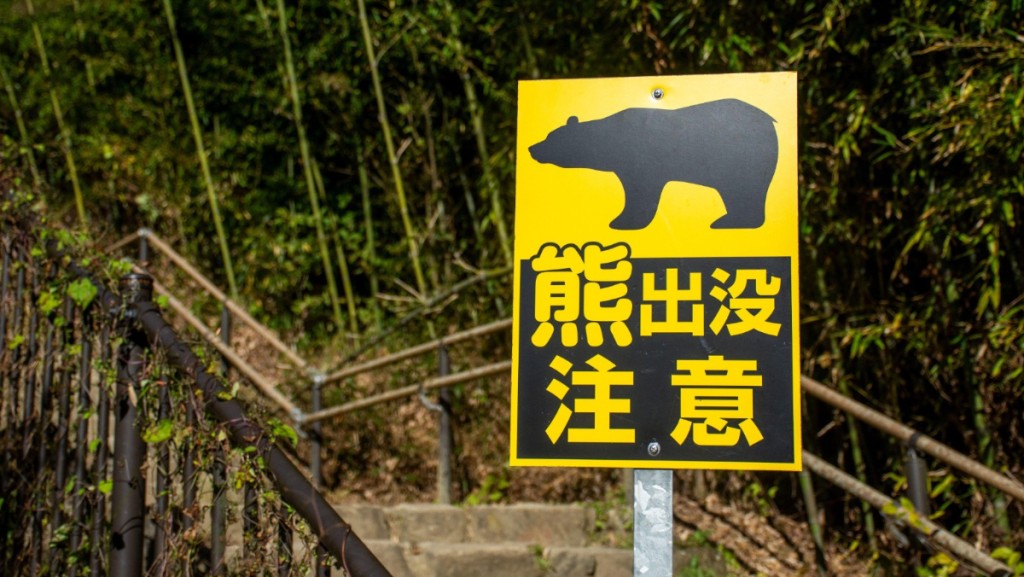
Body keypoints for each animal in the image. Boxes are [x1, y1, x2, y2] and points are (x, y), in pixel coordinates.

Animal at [528, 98, 778, 230]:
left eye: (551, 137)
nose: (532, 148)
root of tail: (770, 120)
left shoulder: (642, 162)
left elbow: (641, 193)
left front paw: (621, 222)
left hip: (744, 159)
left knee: (745, 191)